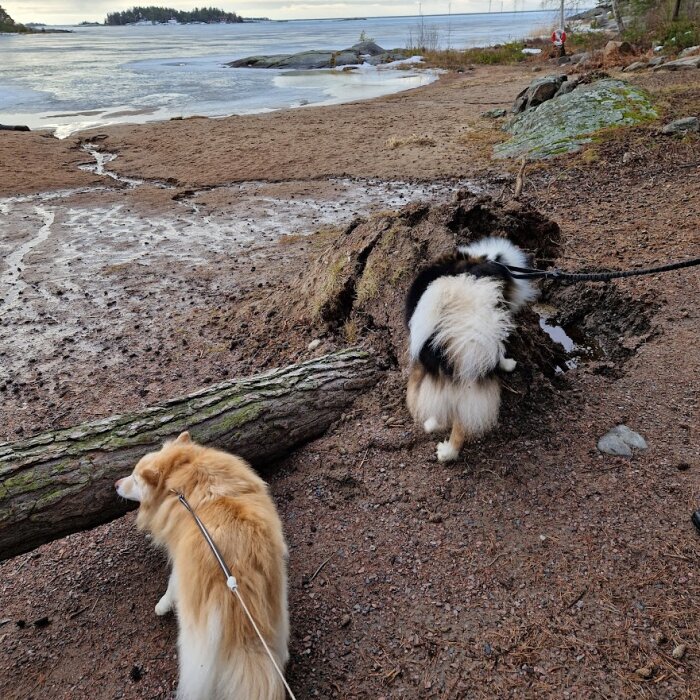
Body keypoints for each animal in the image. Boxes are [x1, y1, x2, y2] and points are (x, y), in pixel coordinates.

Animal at [116, 432, 288, 700]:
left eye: (134, 478)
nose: (115, 484)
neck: (178, 473)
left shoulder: (179, 563)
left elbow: (171, 586)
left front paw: (162, 606)